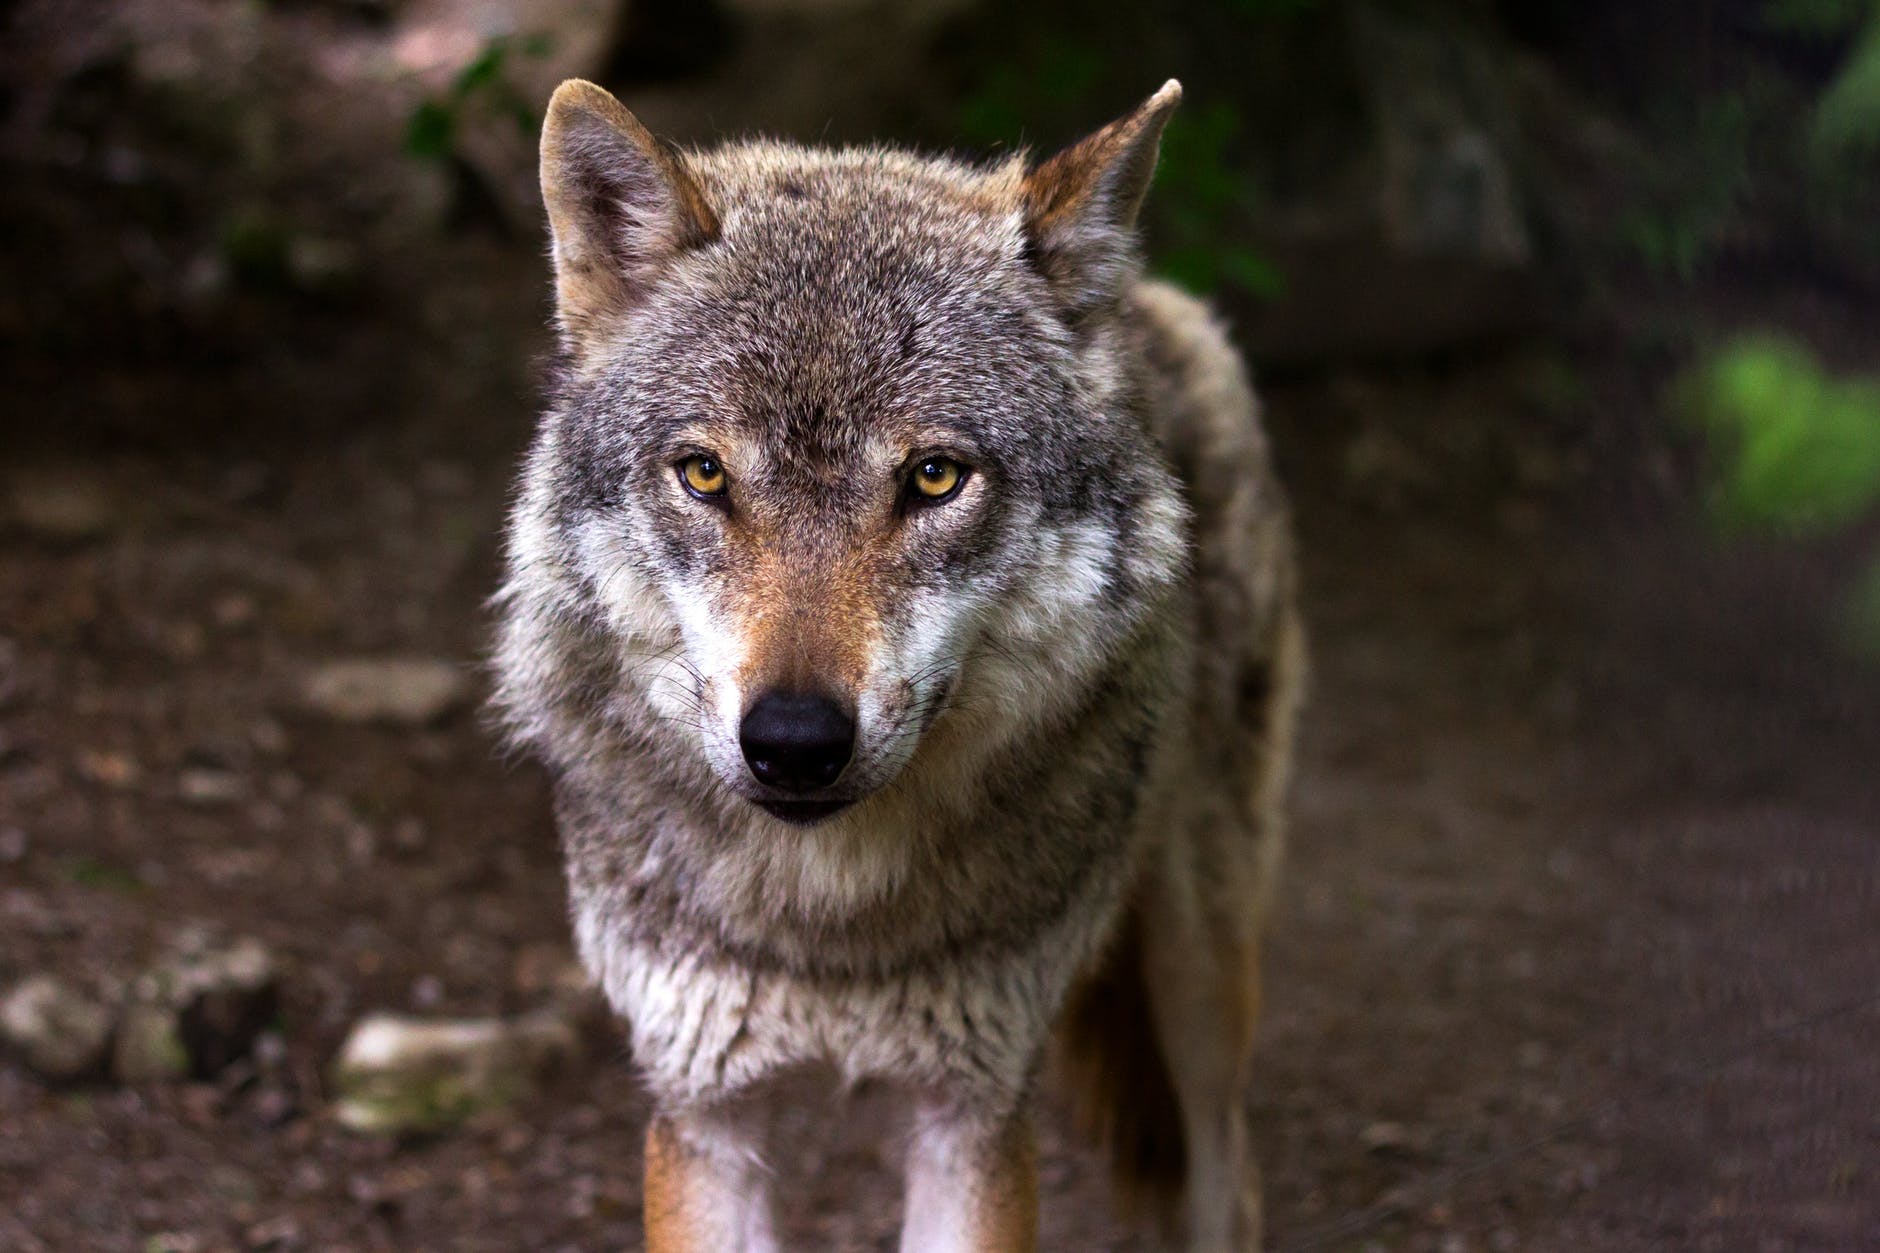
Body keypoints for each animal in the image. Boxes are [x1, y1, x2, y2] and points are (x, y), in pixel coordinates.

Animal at [492, 78, 1300, 1249]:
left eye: (932, 477)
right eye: (703, 473)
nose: (793, 742)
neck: (829, 924)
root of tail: (1144, 299)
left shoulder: (971, 1112)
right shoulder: (703, 1113)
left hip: (1200, 976)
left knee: (1228, 1173)